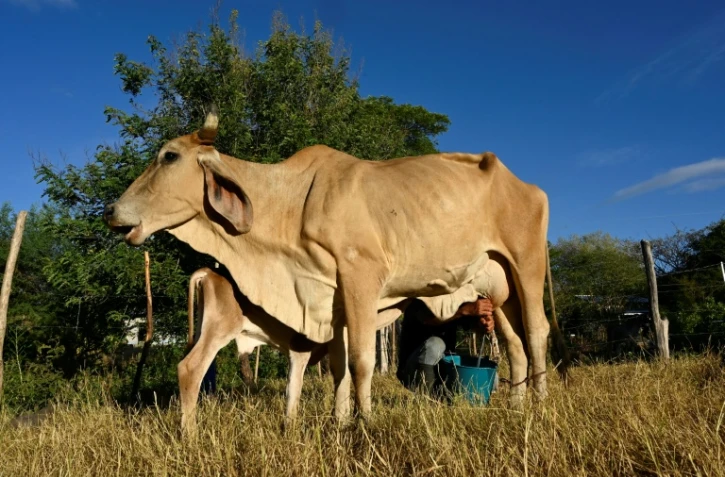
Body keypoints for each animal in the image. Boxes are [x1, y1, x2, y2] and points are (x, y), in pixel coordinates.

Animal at [104, 107, 568, 421]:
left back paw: (541, 408)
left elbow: (361, 361)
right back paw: (516, 408)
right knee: (514, 345)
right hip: (497, 287)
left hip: (526, 265)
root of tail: (528, 186)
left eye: (169, 156)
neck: (292, 204)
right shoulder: (334, 298)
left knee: (537, 332)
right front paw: (339, 422)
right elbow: (338, 366)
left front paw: (365, 424)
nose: (111, 211)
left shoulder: (361, 276)